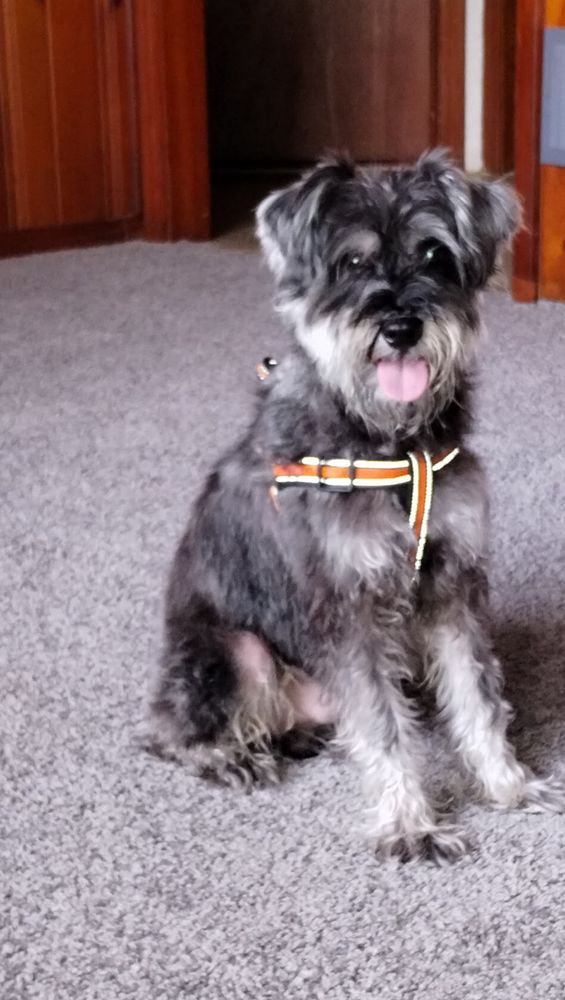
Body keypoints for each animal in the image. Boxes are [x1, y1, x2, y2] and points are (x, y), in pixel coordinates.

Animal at [149, 150, 565, 862]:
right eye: (350, 262)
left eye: (434, 253)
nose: (400, 326)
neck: (391, 441)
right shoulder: (350, 610)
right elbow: (383, 727)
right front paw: (410, 825)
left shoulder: (452, 587)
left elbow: (478, 696)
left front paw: (509, 784)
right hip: (235, 651)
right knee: (174, 731)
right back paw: (230, 756)